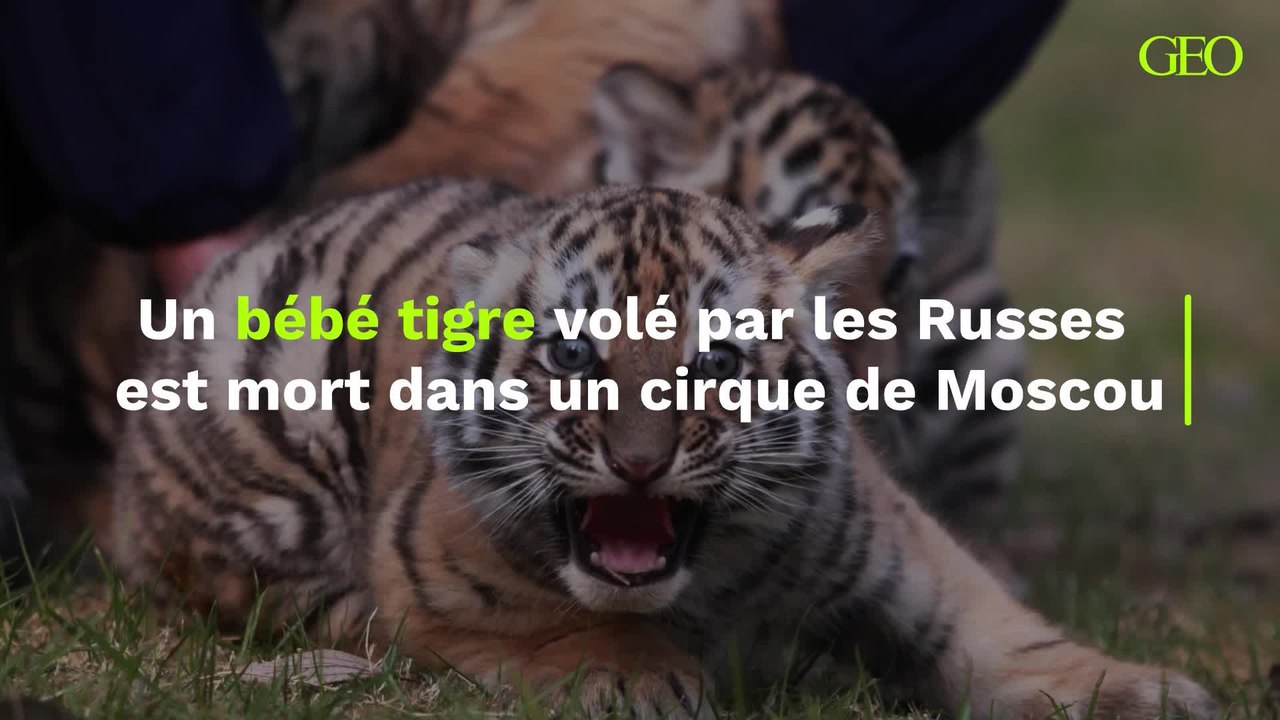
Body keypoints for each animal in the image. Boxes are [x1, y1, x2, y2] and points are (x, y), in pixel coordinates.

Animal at [106, 179, 1215, 719]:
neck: (710, 583)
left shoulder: (892, 537)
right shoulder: (432, 578)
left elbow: (995, 627)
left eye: (714, 360)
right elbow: (551, 624)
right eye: (572, 354)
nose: (639, 464)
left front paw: (1139, 691)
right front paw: (633, 675)